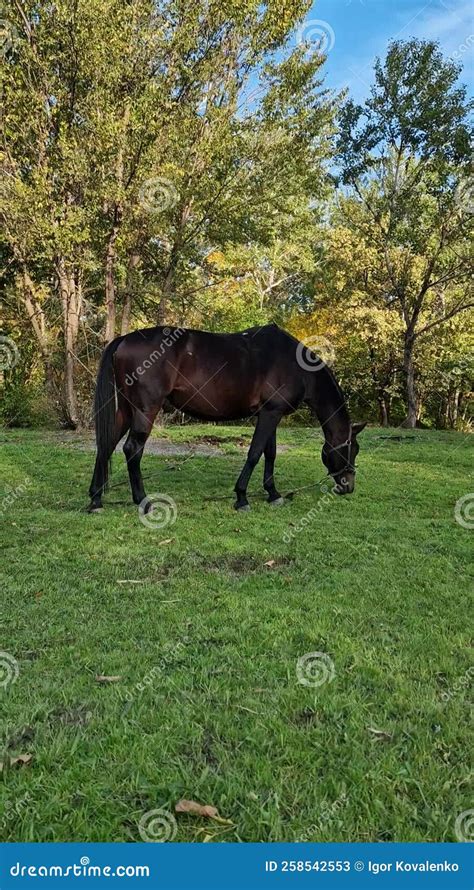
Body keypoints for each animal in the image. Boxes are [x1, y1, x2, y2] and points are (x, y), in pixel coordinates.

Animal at [86, 322, 366, 510]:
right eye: (352, 449)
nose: (349, 486)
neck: (296, 365)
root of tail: (124, 339)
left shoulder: (271, 414)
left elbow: (270, 454)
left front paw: (273, 494)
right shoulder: (270, 414)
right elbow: (255, 453)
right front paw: (241, 497)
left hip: (126, 409)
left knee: (106, 444)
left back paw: (96, 499)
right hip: (145, 410)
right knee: (132, 449)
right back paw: (143, 500)